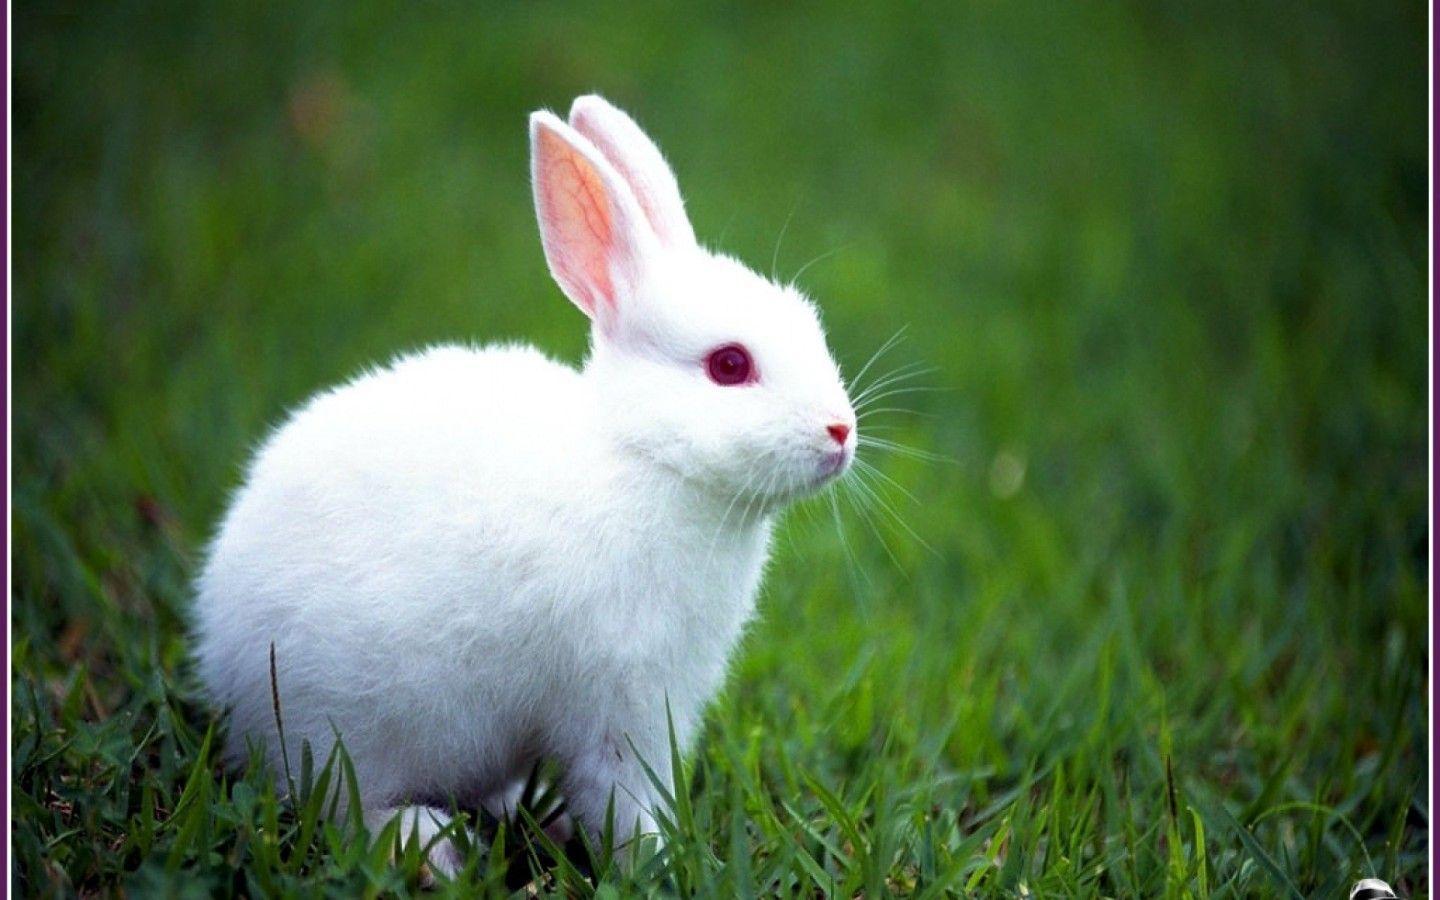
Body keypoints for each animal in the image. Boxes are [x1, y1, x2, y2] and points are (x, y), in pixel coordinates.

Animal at [192, 94, 857, 878]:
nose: (841, 431)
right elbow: (624, 798)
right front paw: (657, 864)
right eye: (730, 365)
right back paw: (433, 848)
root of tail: (221, 652)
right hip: (345, 724)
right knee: (344, 805)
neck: (643, 458)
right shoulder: (621, 705)